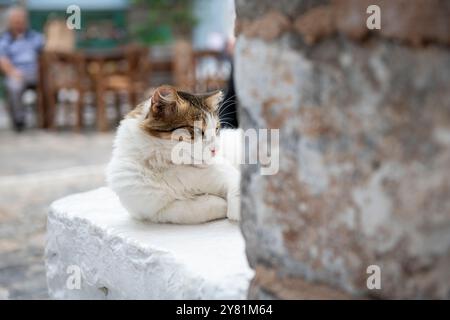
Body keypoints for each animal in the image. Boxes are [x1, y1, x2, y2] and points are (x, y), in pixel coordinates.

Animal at [106, 86, 241, 224]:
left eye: (216, 129)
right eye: (198, 130)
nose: (216, 149)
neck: (165, 167)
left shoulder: (227, 173)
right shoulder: (154, 212)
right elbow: (194, 209)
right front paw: (220, 203)